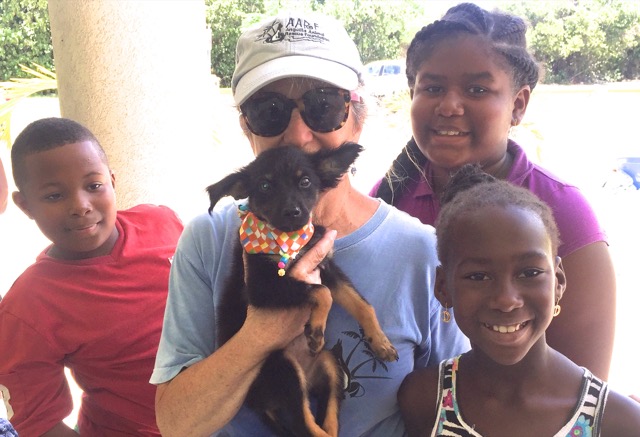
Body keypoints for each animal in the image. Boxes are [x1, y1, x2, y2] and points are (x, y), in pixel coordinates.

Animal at [208, 143, 398, 436]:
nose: (293, 212)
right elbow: (321, 293)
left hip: (332, 366)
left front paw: (380, 341)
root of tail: (258, 402)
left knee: (327, 418)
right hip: (284, 369)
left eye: (305, 182)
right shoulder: (263, 287)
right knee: (302, 423)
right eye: (264, 186)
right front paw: (317, 329)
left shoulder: (327, 268)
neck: (290, 241)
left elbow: (361, 304)